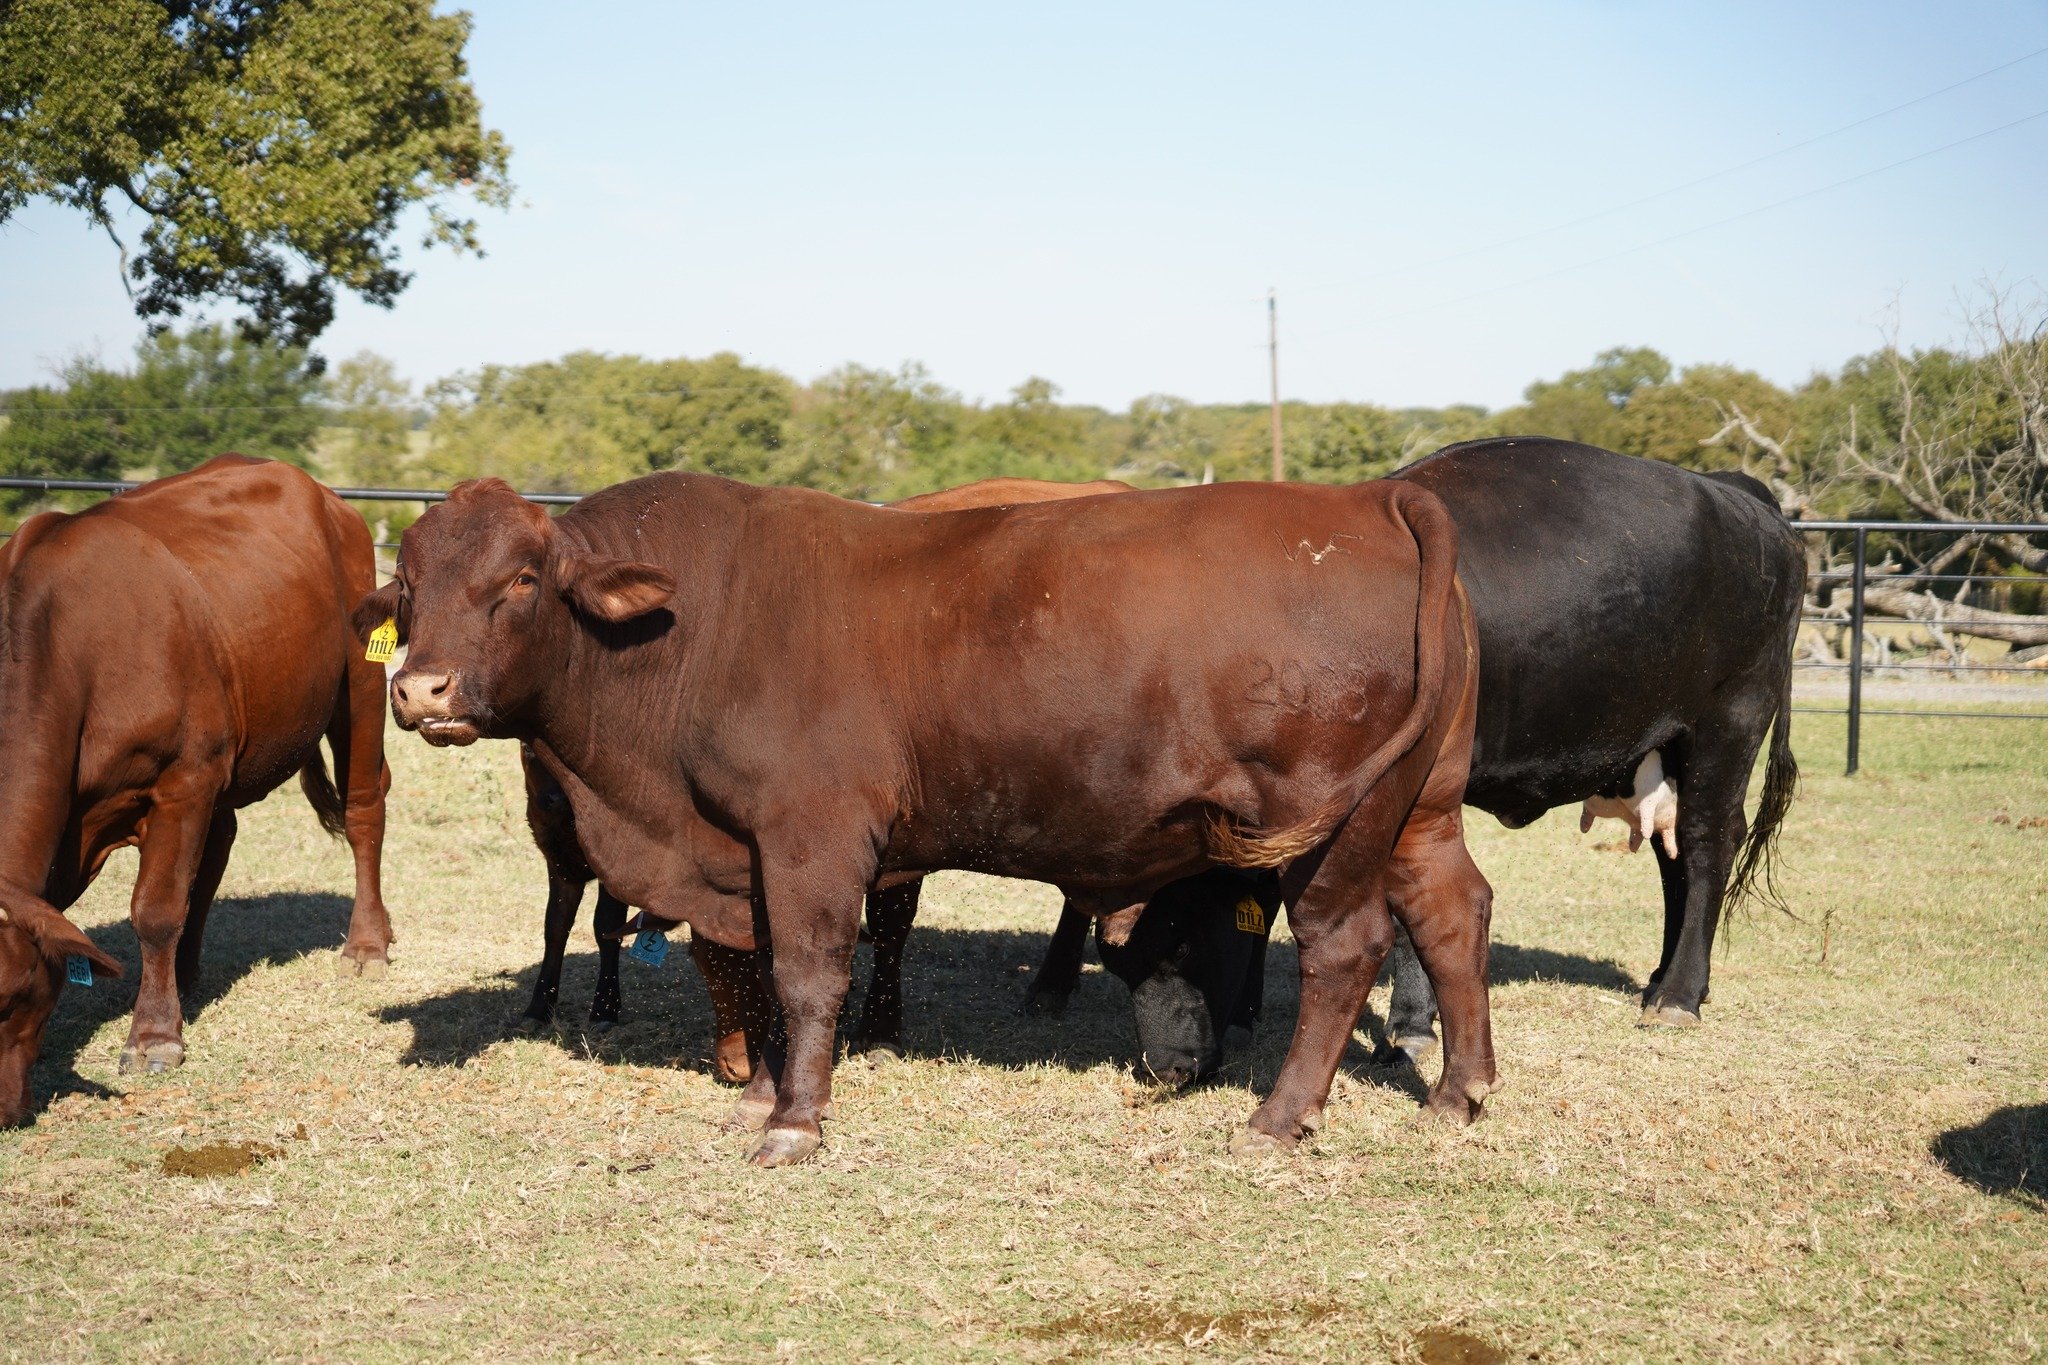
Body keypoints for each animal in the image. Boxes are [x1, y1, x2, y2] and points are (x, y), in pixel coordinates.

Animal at [0, 454, 394, 1127]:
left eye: (11, 997)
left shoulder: (183, 779)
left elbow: (156, 910)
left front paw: (154, 1036)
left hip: (360, 684)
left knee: (365, 808)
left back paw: (367, 942)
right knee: (216, 851)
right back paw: (187, 974)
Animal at [364, 471, 1492, 1164]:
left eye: (520, 579)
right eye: (408, 585)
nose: (419, 690)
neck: (699, 626)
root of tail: (1375, 497)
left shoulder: (813, 837)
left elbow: (807, 974)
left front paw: (795, 1120)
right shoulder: (749, 851)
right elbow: (763, 972)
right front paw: (758, 1091)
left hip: (1332, 830)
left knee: (1344, 950)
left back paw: (1278, 1117)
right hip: (1420, 810)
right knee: (1450, 913)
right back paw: (1459, 1091)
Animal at [1026, 437, 1804, 1069]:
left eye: (1175, 934)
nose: (1172, 1063)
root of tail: (1738, 495)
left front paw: (1409, 1024)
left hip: (1727, 726)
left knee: (1705, 846)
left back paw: (1680, 994)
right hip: (1667, 747)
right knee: (1676, 862)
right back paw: (1661, 979)